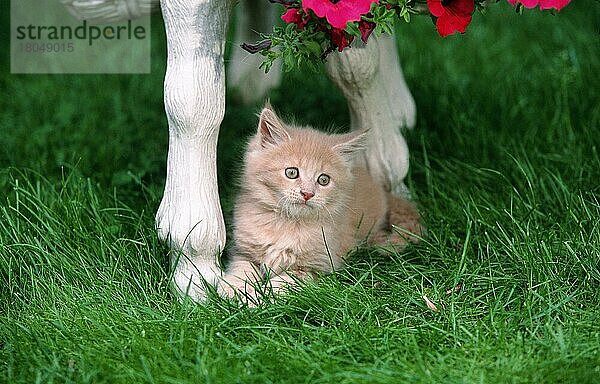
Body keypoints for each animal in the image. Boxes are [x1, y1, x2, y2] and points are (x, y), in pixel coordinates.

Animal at [219, 106, 422, 304]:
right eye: (291, 172)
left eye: (323, 180)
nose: (307, 193)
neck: (287, 224)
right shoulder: (243, 252)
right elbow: (241, 270)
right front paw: (235, 291)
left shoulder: (313, 267)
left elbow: (282, 283)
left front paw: (261, 299)